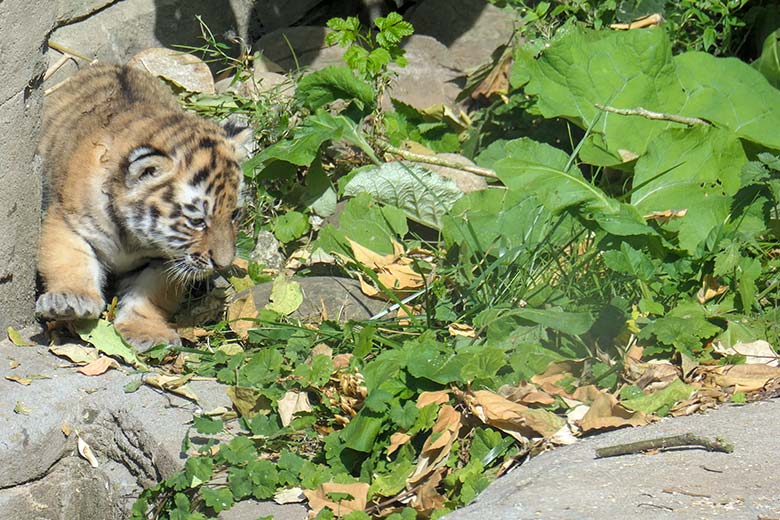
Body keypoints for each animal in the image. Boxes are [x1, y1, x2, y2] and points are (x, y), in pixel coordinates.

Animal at [36, 63, 252, 350]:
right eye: (197, 221)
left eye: (235, 214)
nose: (223, 264)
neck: (132, 236)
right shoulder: (66, 219)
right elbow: (70, 260)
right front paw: (72, 299)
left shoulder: (165, 260)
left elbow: (151, 296)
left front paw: (147, 332)